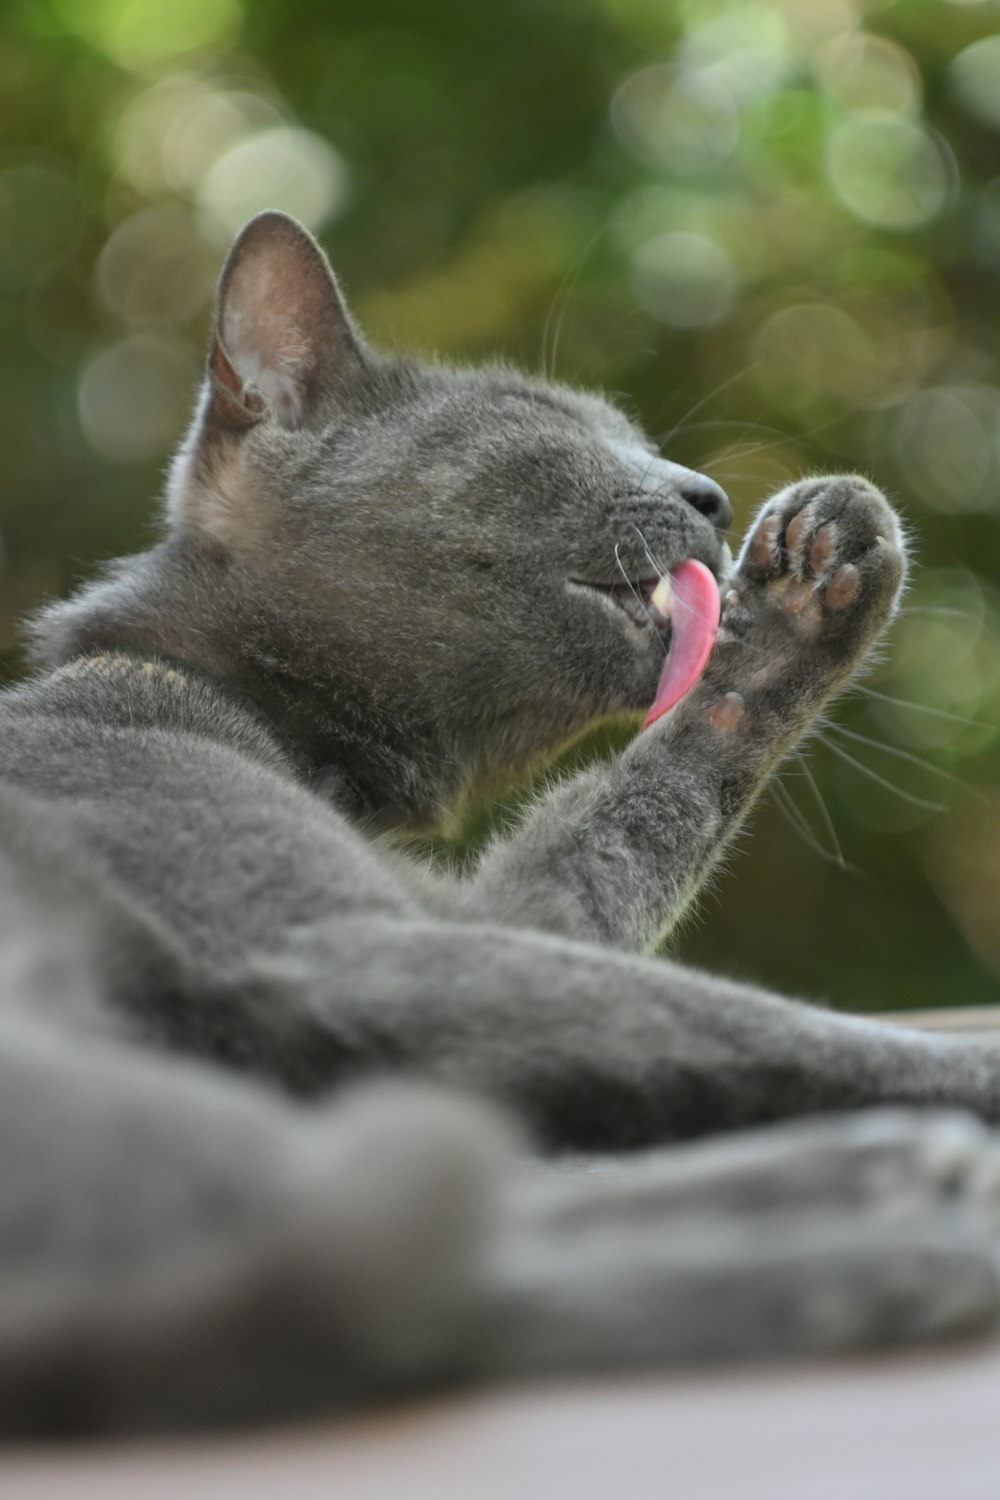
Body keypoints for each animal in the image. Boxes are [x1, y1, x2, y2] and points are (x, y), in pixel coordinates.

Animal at [1, 214, 1000, 1440]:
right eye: (549, 427)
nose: (712, 494)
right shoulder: (349, 942)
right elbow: (811, 1031)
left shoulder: (502, 915)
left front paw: (819, 579)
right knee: (385, 1287)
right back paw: (884, 1223)